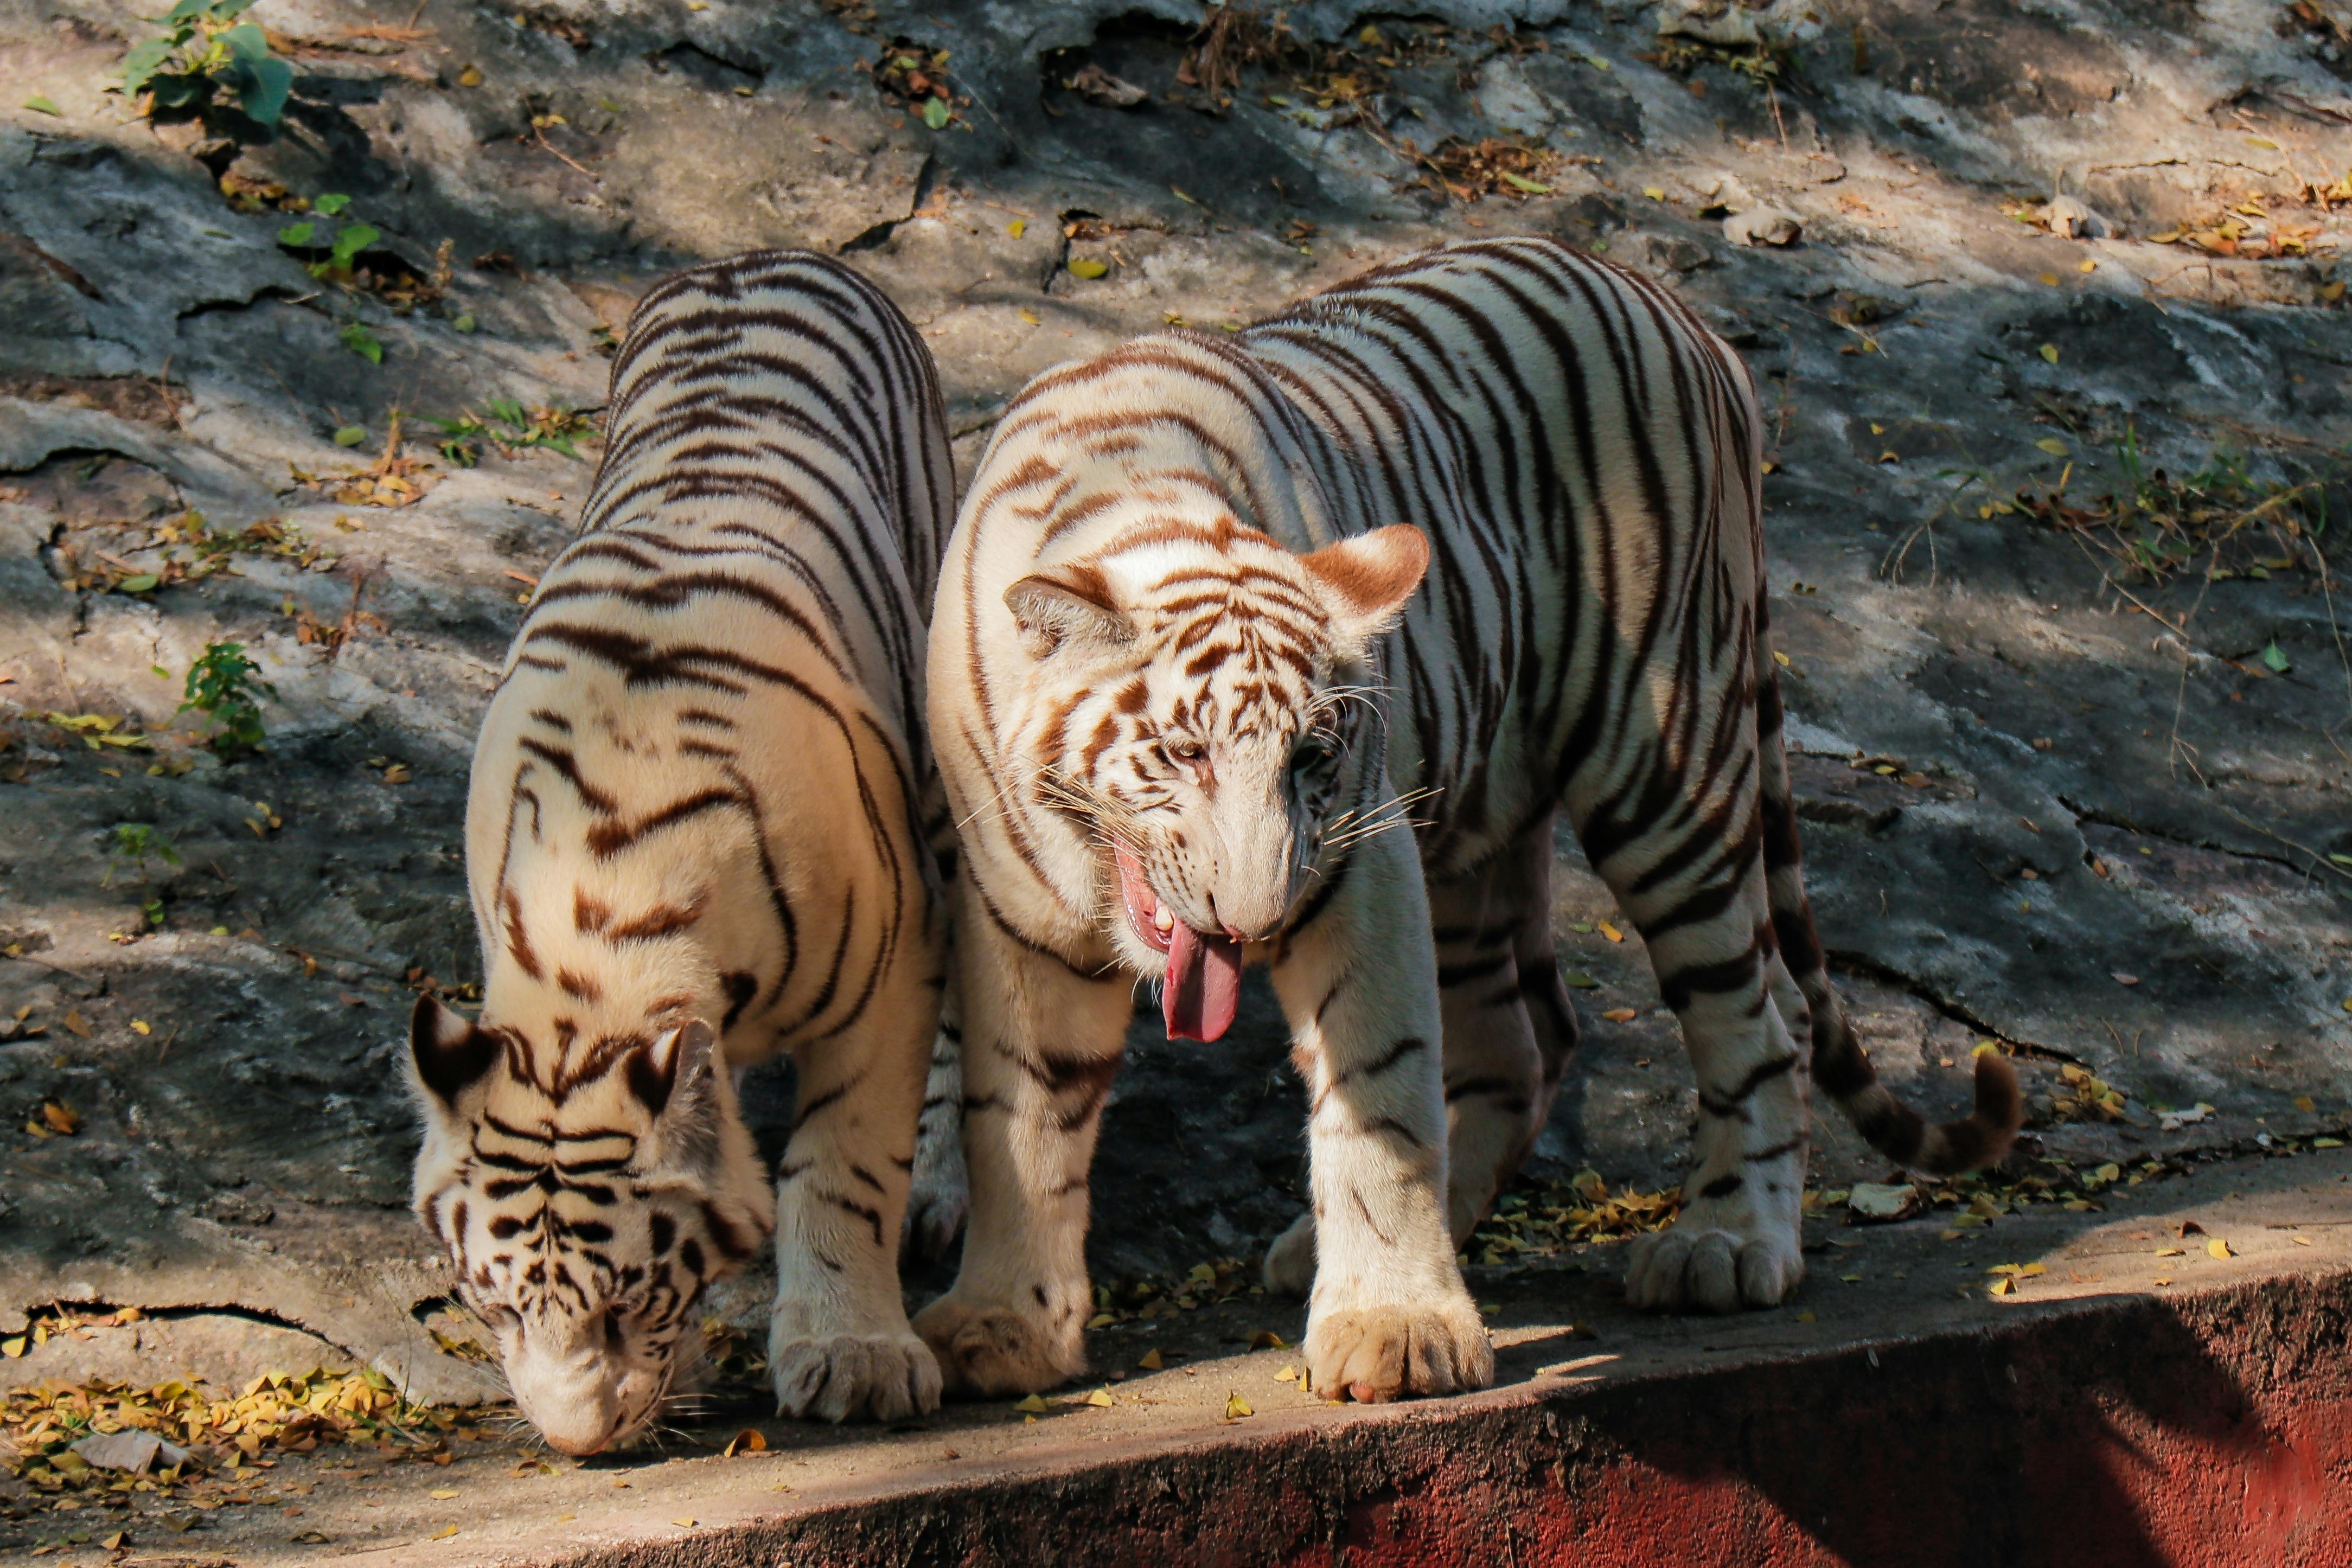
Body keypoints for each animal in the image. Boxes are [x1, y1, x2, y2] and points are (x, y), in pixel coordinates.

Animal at [405, 249, 955, 1452]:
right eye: (496, 1305)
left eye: (625, 1304)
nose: (580, 1443)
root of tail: (761, 257)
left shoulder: (888, 973)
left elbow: (842, 1164)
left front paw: (852, 1354)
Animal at [911, 235, 2022, 1405]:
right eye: (1183, 753)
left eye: (1310, 758)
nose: (1257, 925)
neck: (1136, 498)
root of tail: (1687, 316)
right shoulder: (1016, 912)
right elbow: (1025, 1117)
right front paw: (1003, 1326)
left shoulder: (1358, 865)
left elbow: (1376, 1093)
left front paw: (1395, 1329)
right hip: (1475, 833)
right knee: (1526, 1038)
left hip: (1663, 767)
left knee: (1767, 1014)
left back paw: (1722, 1243)